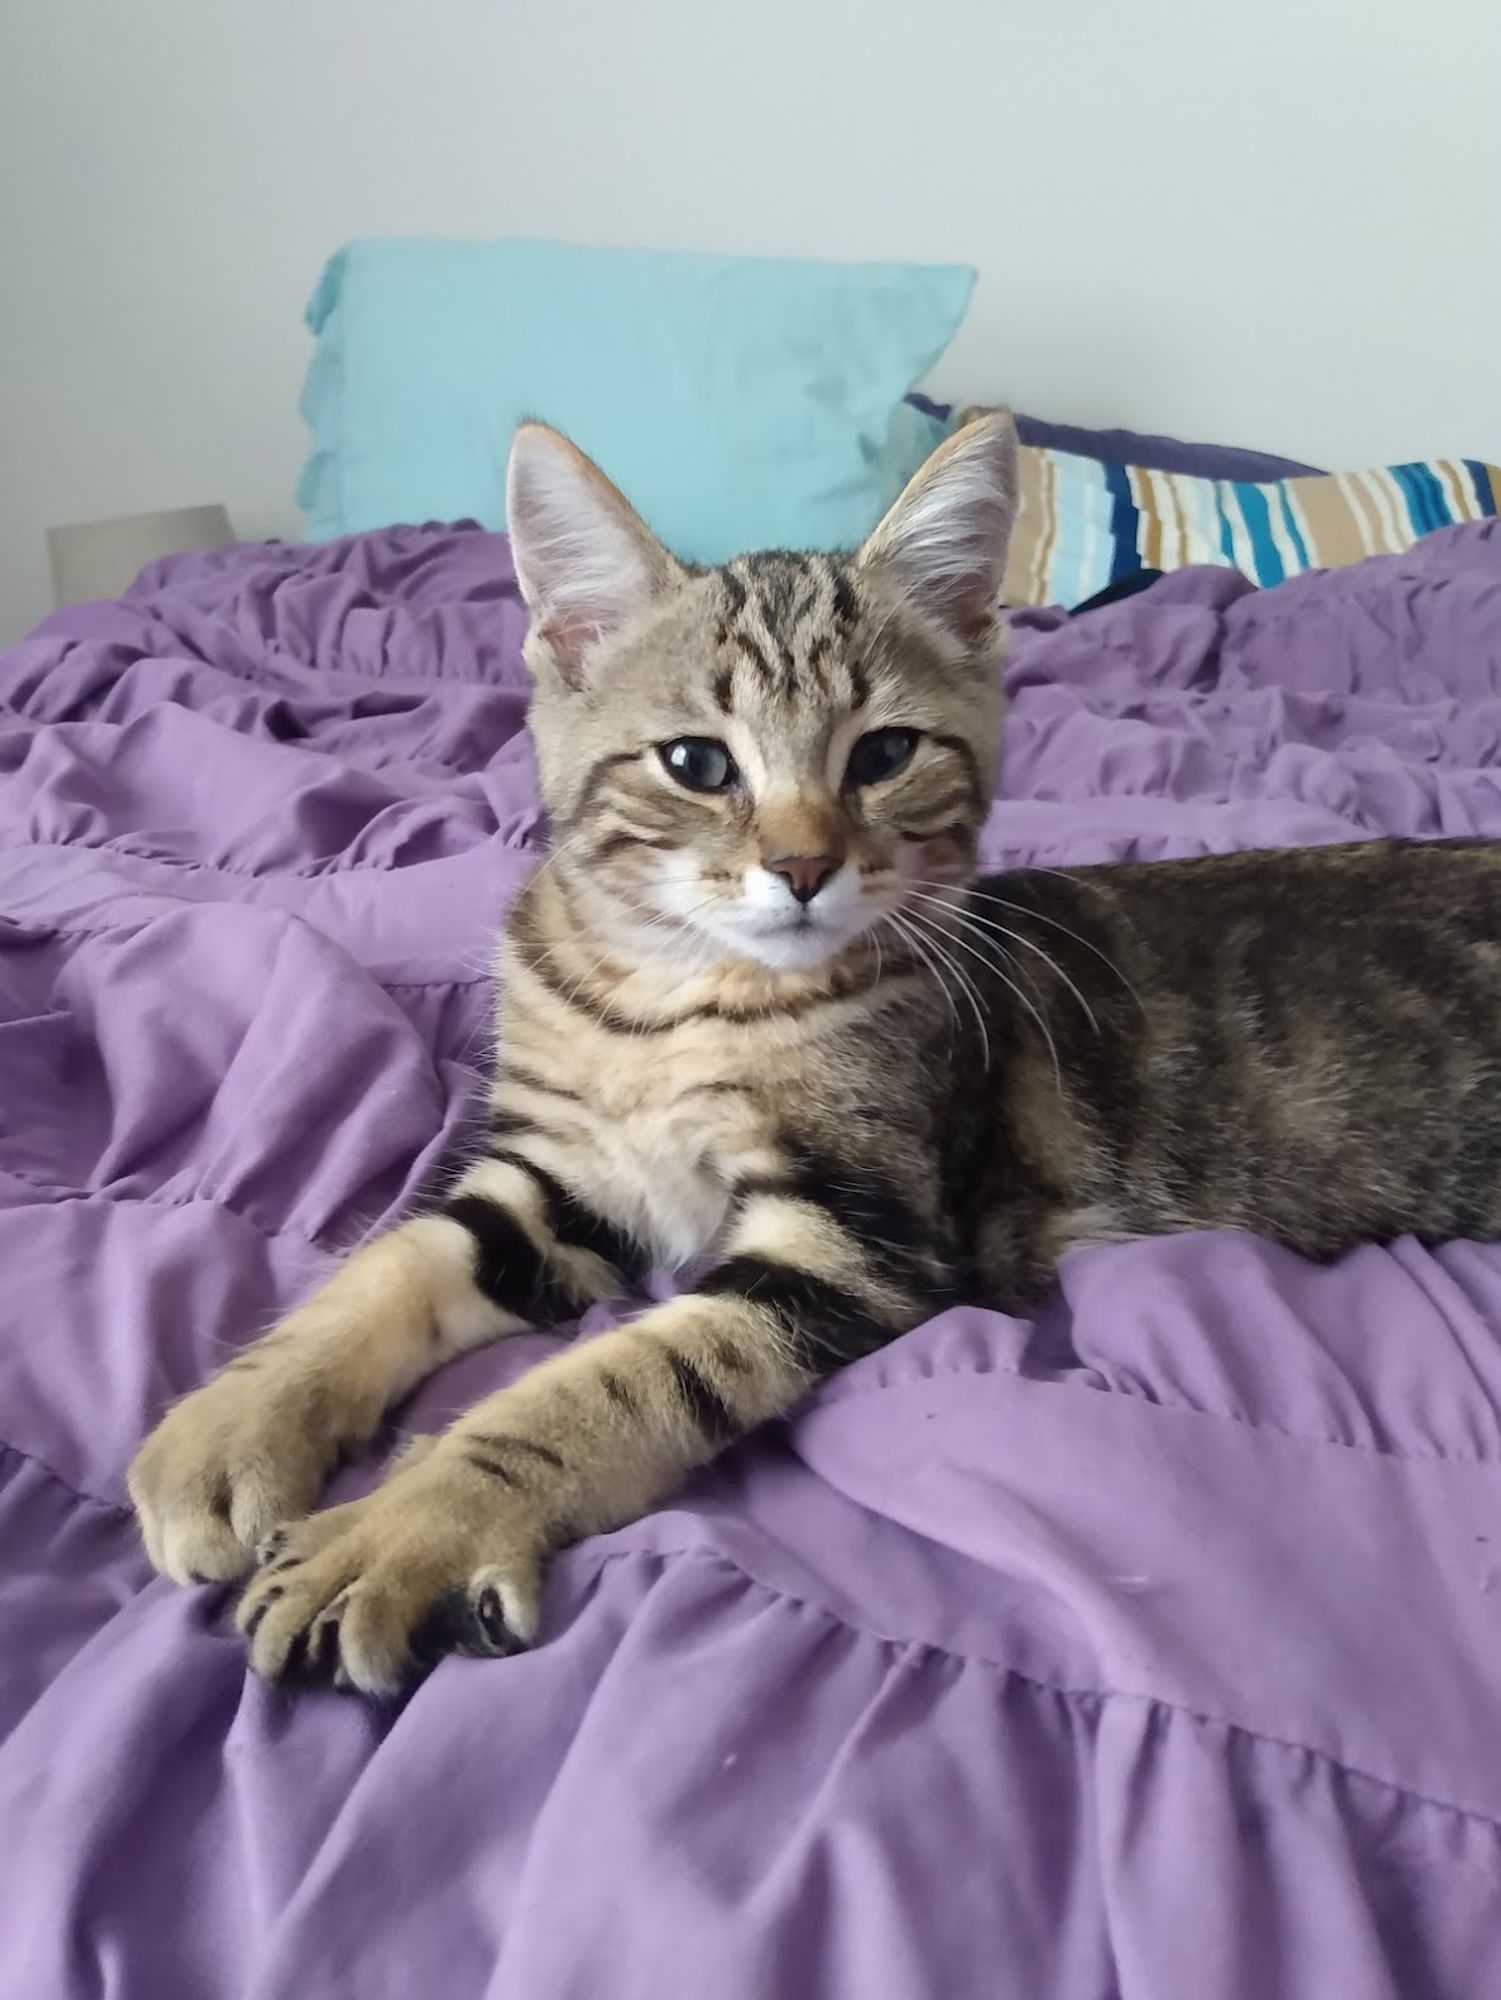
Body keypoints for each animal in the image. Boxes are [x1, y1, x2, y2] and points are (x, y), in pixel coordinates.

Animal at [126, 414, 1501, 1696]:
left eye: (883, 753)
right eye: (695, 762)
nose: (801, 865)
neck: (672, 999)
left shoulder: (851, 1237)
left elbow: (603, 1382)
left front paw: (405, 1524)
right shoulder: (555, 1181)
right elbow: (389, 1262)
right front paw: (232, 1423)